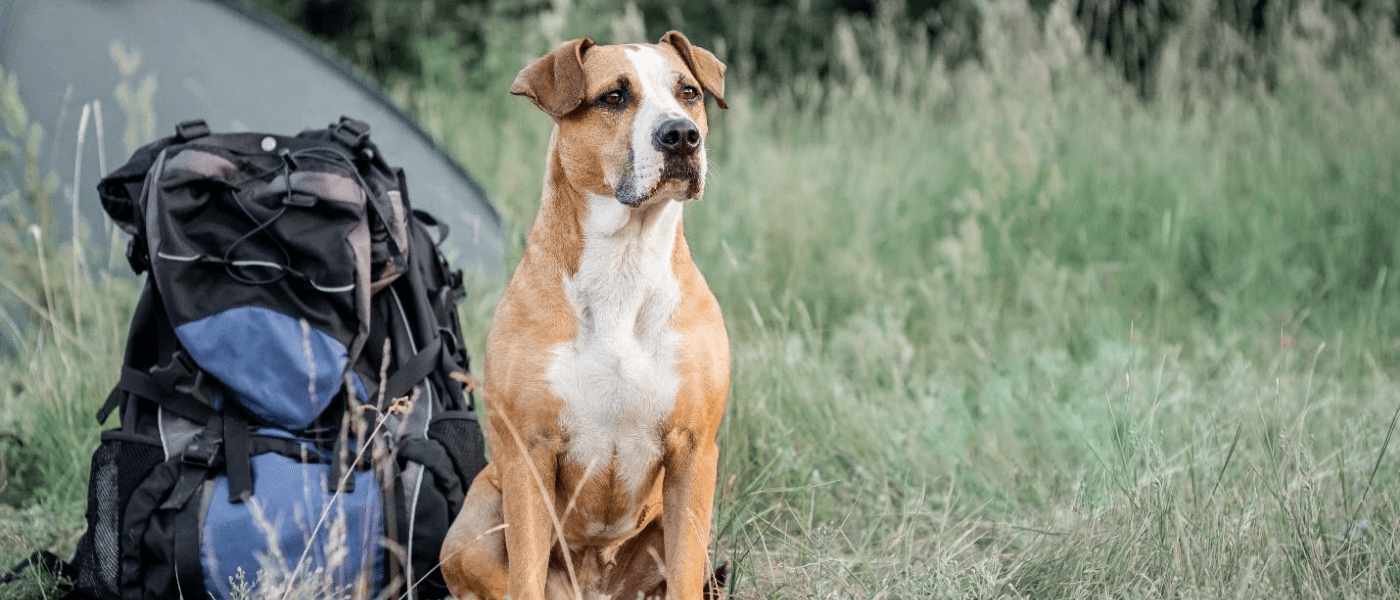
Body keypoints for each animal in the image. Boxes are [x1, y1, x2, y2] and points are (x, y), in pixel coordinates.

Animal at [439, 32, 733, 598]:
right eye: (613, 97)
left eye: (688, 92)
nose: (681, 136)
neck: (624, 262)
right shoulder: (529, 452)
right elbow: (526, 575)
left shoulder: (693, 452)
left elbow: (685, 573)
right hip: (474, 519)